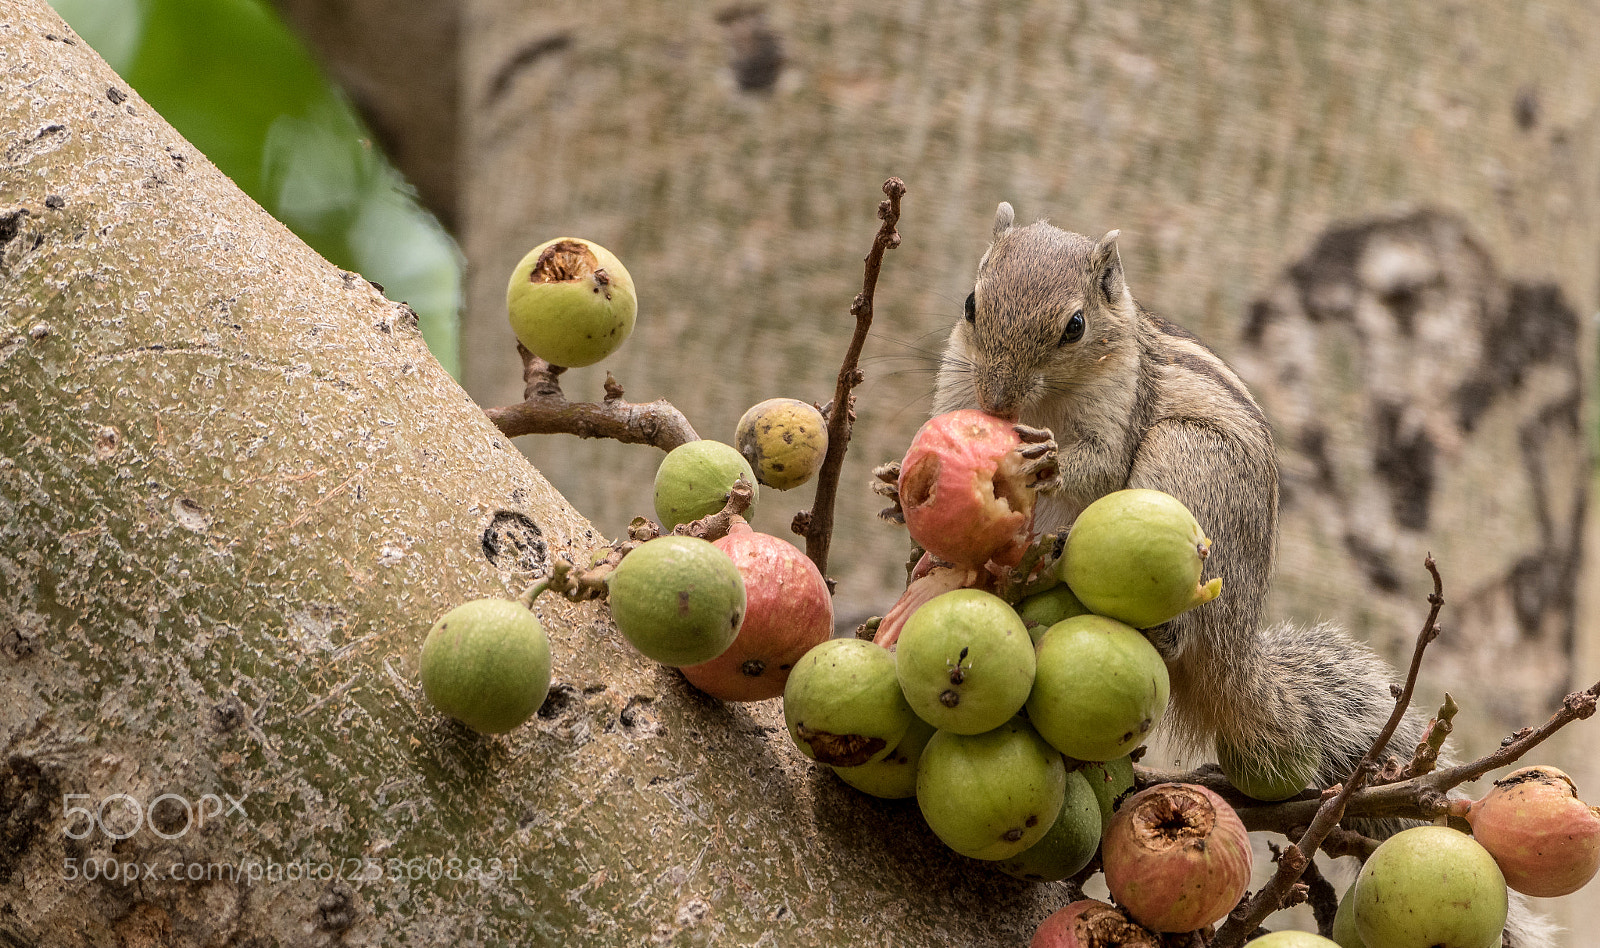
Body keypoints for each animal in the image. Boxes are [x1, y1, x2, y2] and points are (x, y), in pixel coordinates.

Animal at [932, 204, 1554, 945]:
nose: (997, 401)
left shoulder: (1120, 411)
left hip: (1186, 464)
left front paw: (1049, 460)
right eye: (972, 303)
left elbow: (1097, 464)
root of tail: (1235, 646)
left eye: (1074, 326)